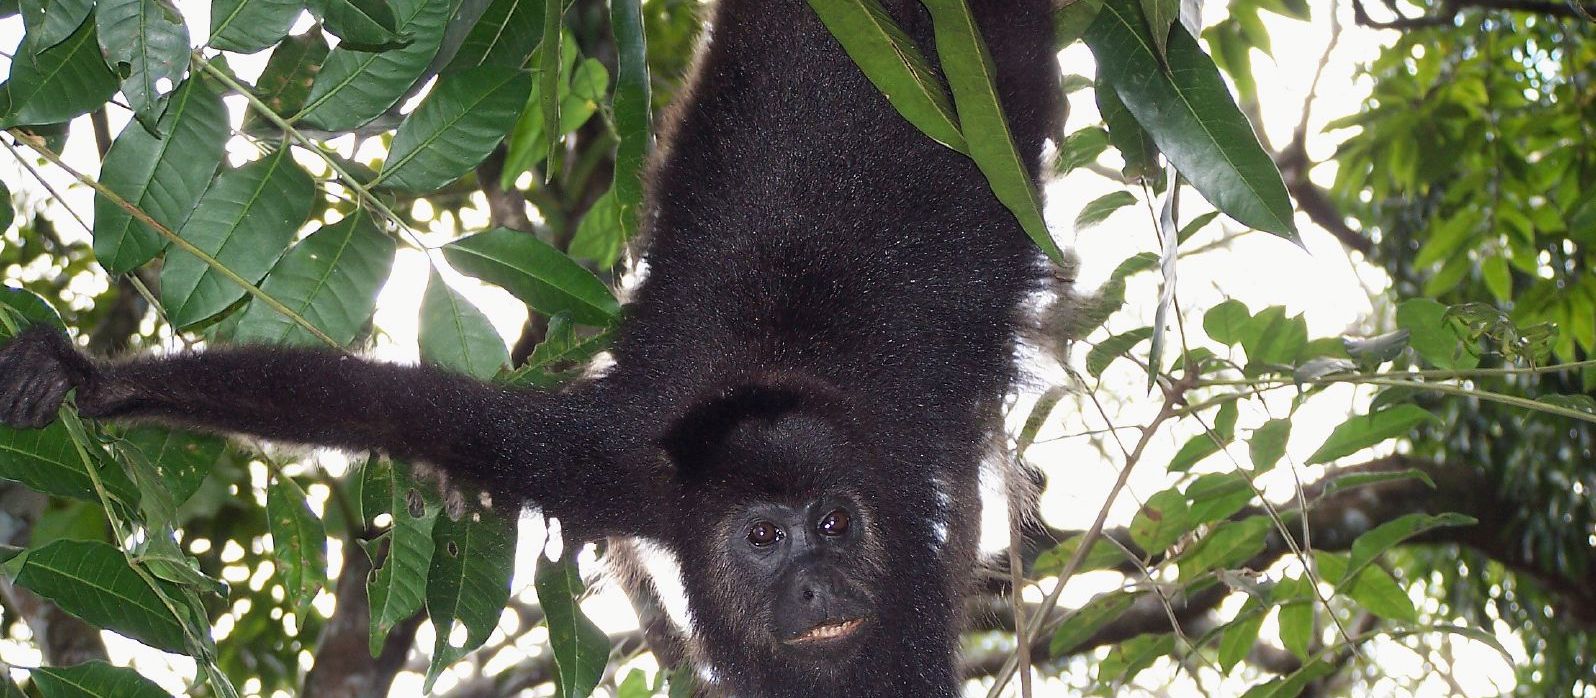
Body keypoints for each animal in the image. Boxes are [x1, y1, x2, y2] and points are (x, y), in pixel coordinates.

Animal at [0, 0, 1062, 695]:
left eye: (836, 522)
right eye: (765, 537)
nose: (819, 579)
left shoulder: (903, 508)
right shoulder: (610, 464)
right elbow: (395, 409)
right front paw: (88, 379)